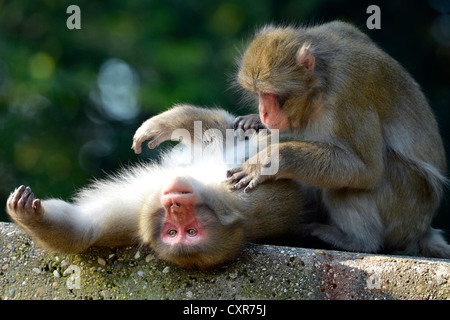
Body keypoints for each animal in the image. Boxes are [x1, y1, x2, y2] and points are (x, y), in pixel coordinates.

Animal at [229, 21, 450, 258]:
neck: (321, 81)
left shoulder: (347, 93)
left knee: (346, 185)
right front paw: (254, 121)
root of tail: (421, 229)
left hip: (405, 207)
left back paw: (357, 242)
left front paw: (267, 160)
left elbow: (367, 169)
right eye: (260, 94)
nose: (264, 112)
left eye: (272, 94)